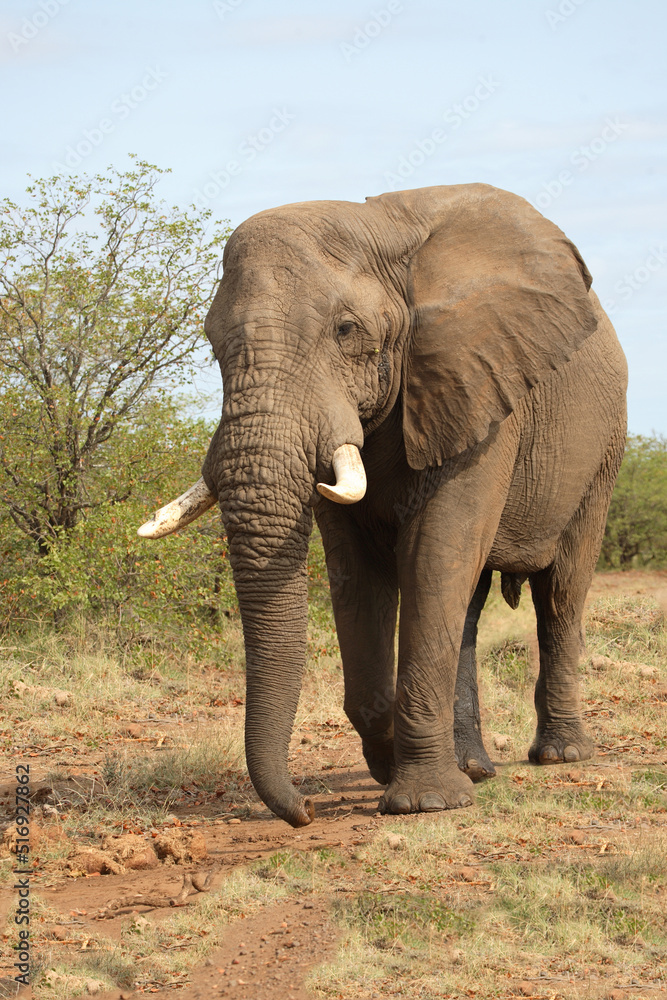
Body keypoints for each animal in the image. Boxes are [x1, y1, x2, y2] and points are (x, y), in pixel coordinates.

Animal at [138, 183, 627, 828]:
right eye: (212, 343)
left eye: (347, 330)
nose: (305, 810)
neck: (383, 228)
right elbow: (355, 570)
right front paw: (395, 764)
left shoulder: (481, 390)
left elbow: (435, 553)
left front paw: (423, 802)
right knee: (469, 606)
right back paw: (474, 768)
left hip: (602, 450)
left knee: (561, 592)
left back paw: (560, 755)